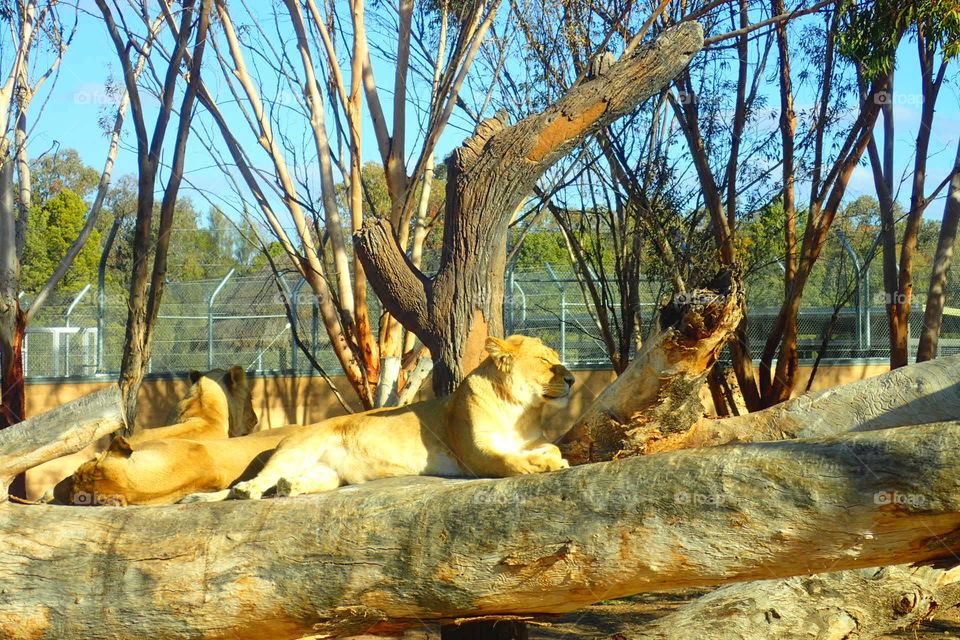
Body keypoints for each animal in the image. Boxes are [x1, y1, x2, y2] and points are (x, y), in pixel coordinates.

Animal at [188, 335, 575, 502]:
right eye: (545, 361)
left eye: (558, 359)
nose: (571, 379)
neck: (521, 409)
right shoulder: (475, 453)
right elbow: (507, 461)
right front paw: (541, 466)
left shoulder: (531, 439)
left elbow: (552, 449)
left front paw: (553, 460)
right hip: (295, 450)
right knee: (256, 481)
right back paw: (247, 490)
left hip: (329, 472)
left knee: (297, 481)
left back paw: (290, 488)